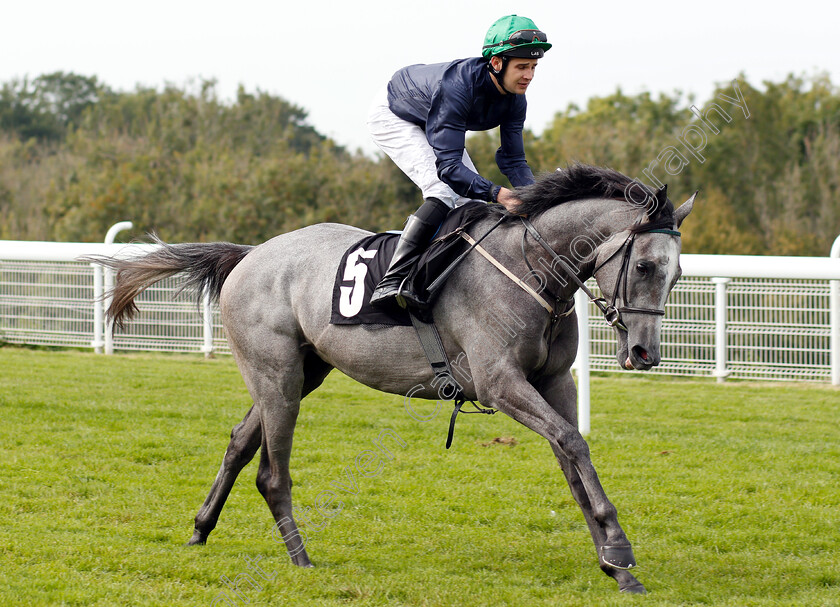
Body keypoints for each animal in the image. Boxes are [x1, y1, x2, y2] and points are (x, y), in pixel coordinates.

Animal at [100, 165, 696, 592]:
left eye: (678, 273)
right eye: (645, 266)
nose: (644, 353)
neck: (530, 269)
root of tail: (250, 254)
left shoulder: (553, 384)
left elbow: (573, 458)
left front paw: (614, 562)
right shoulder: (500, 383)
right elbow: (572, 442)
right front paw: (618, 547)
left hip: (302, 371)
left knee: (240, 442)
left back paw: (201, 530)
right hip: (277, 373)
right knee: (271, 472)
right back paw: (300, 558)